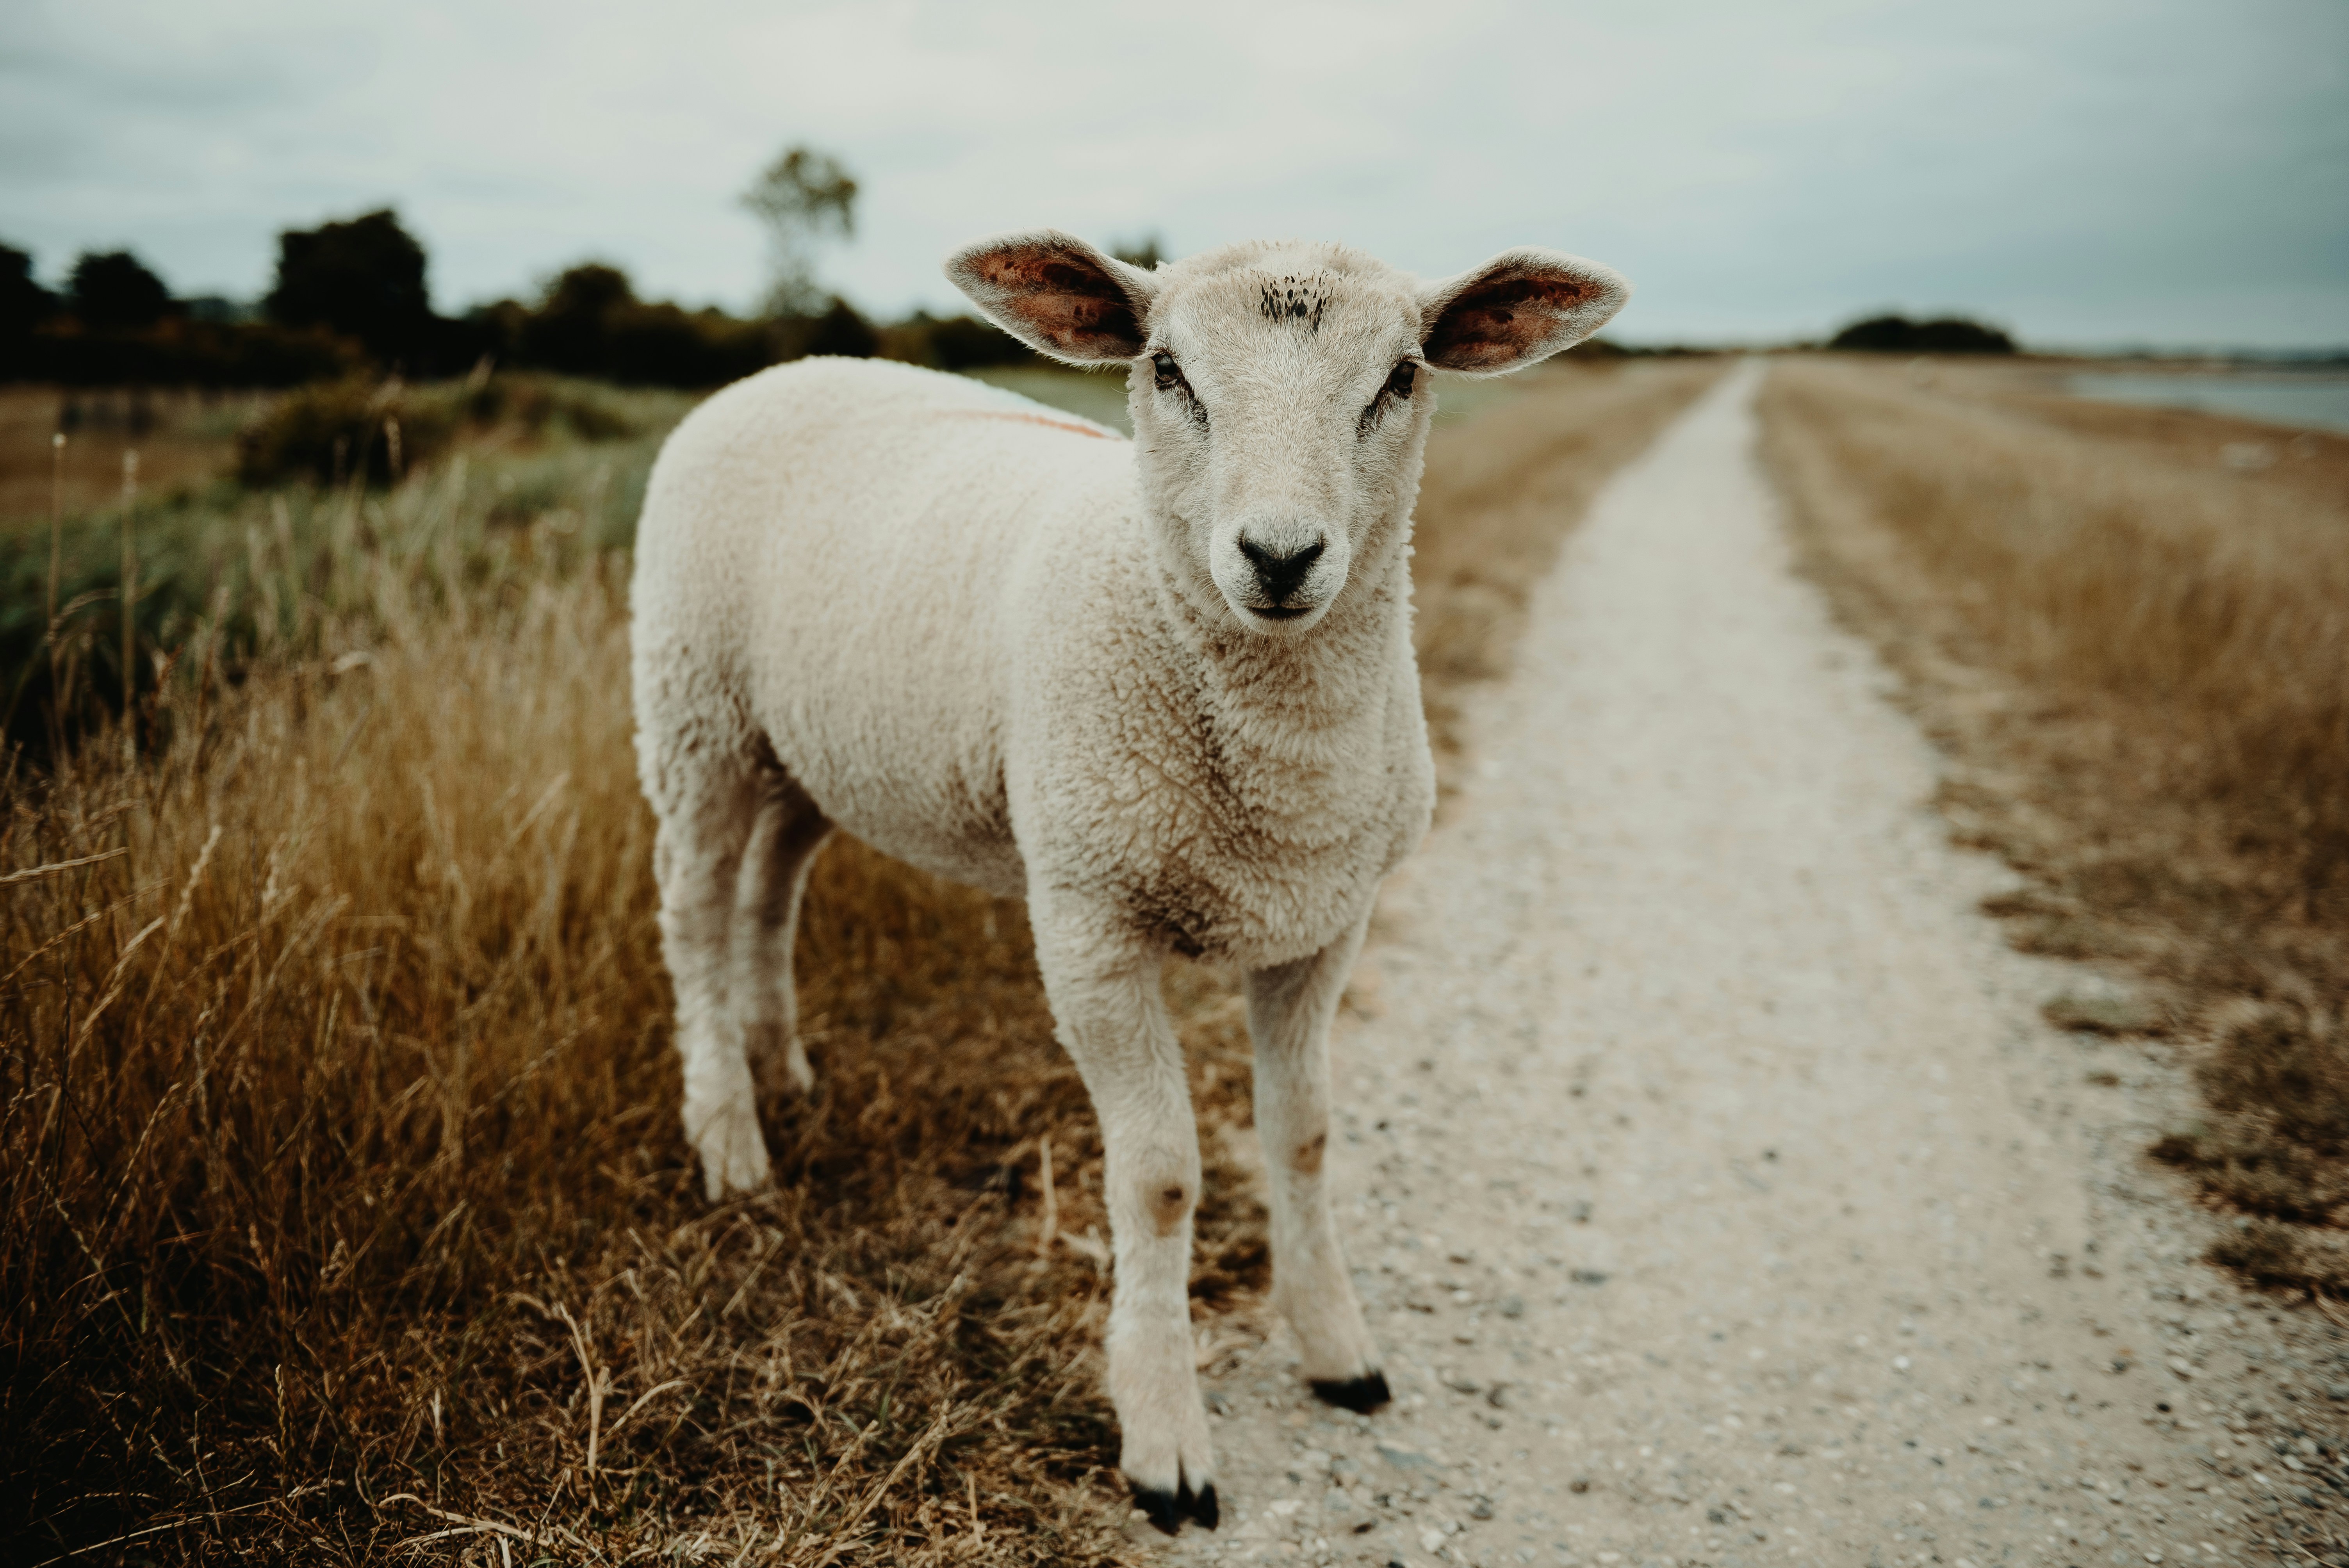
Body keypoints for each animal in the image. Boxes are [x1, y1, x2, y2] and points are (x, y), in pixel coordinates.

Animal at [629, 230, 1627, 1533]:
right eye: (1166, 369)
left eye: (1402, 376)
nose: (1279, 557)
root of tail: (786, 369)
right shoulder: (1089, 922)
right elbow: (1157, 1181)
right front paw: (1165, 1444)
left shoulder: (1325, 923)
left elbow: (1304, 1136)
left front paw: (1338, 1351)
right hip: (692, 708)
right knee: (694, 912)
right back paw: (730, 1136)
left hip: (806, 744)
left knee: (772, 888)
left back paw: (780, 1069)